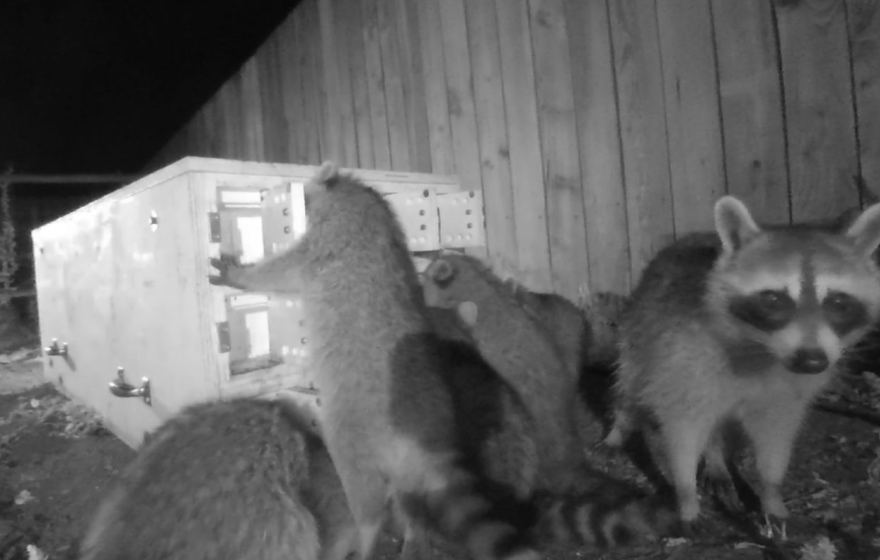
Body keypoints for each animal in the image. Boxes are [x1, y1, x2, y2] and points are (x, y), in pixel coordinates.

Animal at [211, 162, 540, 560]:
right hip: (405, 464)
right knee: (412, 505)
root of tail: (423, 432)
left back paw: (367, 534)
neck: (357, 194)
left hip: (355, 433)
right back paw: (413, 533)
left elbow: (282, 271)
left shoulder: (331, 240)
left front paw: (242, 274)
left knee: (365, 494)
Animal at [608, 195, 880, 536]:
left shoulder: (787, 390)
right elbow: (682, 431)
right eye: (774, 300)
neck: (762, 349)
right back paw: (620, 425)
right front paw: (686, 496)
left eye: (838, 302)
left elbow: (776, 435)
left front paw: (772, 494)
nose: (811, 360)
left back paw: (716, 459)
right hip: (641, 332)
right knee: (630, 381)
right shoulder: (683, 360)